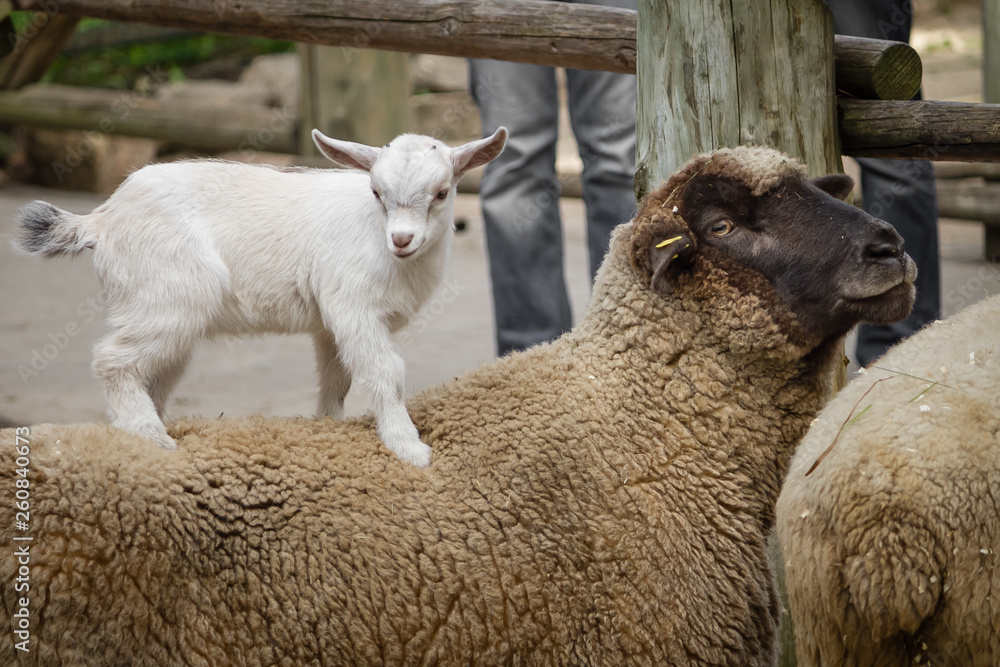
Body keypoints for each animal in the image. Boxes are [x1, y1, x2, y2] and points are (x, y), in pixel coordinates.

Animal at [12, 127, 508, 467]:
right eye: (376, 192)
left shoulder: (330, 325)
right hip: (167, 299)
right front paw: (409, 448)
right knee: (112, 361)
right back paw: (152, 438)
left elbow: (336, 380)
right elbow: (386, 372)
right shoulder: (355, 310)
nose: (402, 240)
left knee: (152, 375)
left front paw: (328, 427)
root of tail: (100, 220)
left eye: (441, 193)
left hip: (163, 315)